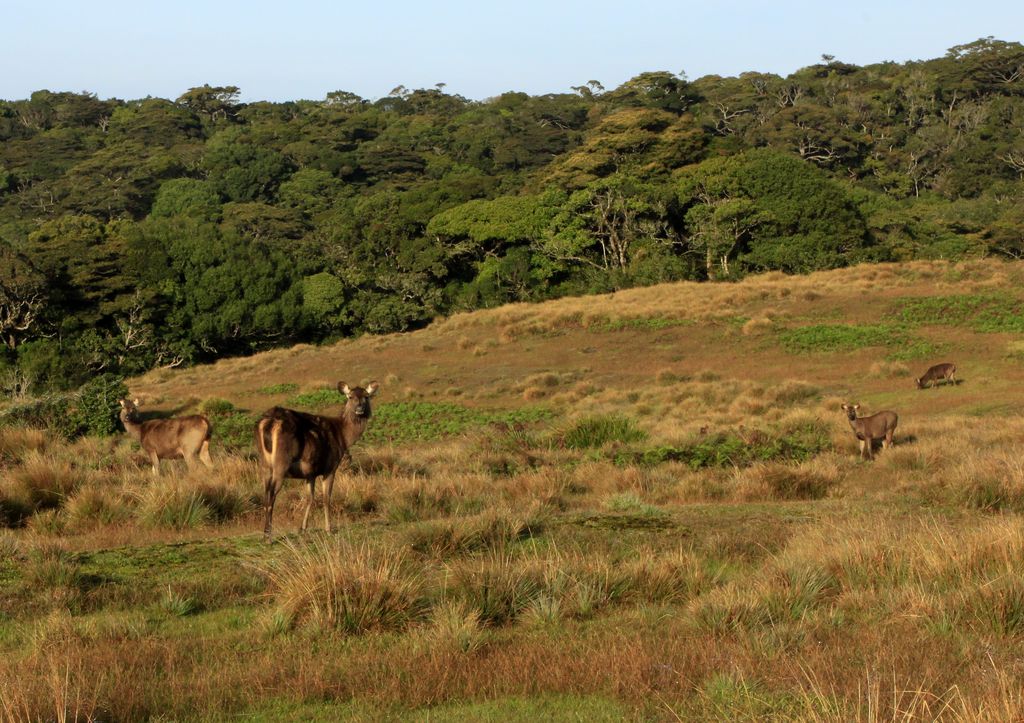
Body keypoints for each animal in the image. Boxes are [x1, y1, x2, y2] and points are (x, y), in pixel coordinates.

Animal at [256, 380, 380, 536]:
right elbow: (326, 498)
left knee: (265, 493)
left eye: (366, 396)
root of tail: (268, 422)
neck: (343, 437)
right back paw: (268, 534)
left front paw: (303, 528)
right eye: (350, 396)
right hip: (281, 462)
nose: (360, 408)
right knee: (272, 494)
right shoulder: (330, 467)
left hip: (264, 464)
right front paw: (328, 529)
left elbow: (310, 498)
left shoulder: (310, 472)